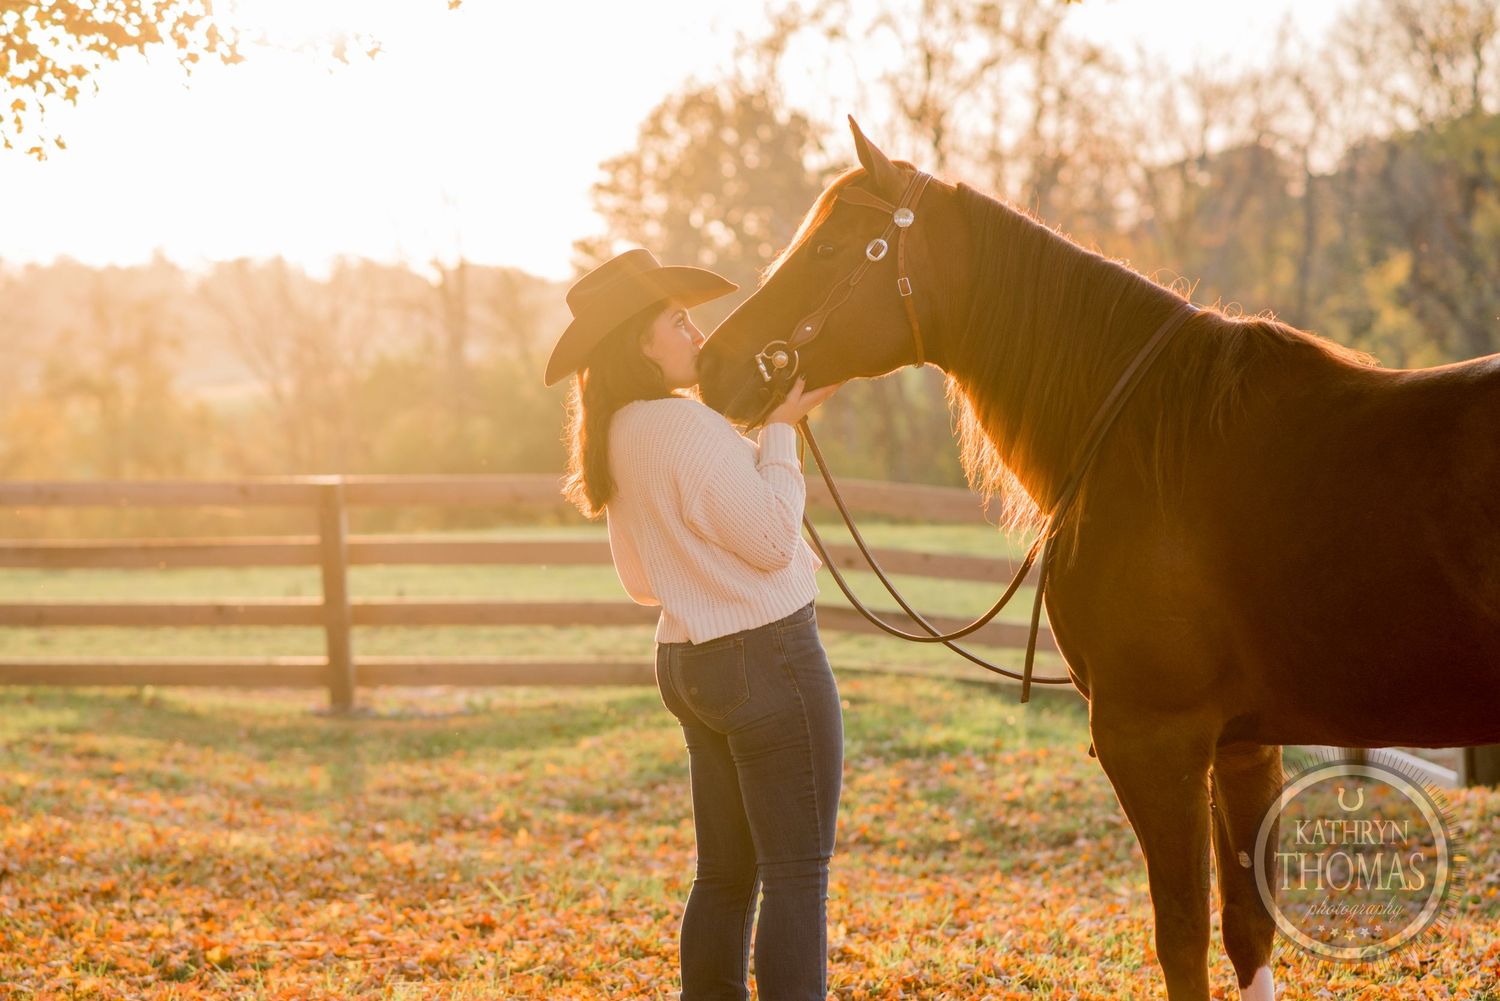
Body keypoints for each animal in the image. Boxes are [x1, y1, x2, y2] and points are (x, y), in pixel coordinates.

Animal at [695, 118, 1500, 1001]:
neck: (1148, 441)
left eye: (832, 247)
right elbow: (1247, 930)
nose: (711, 364)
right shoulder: (1246, 743)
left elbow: (1182, 937)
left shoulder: (1152, 739)